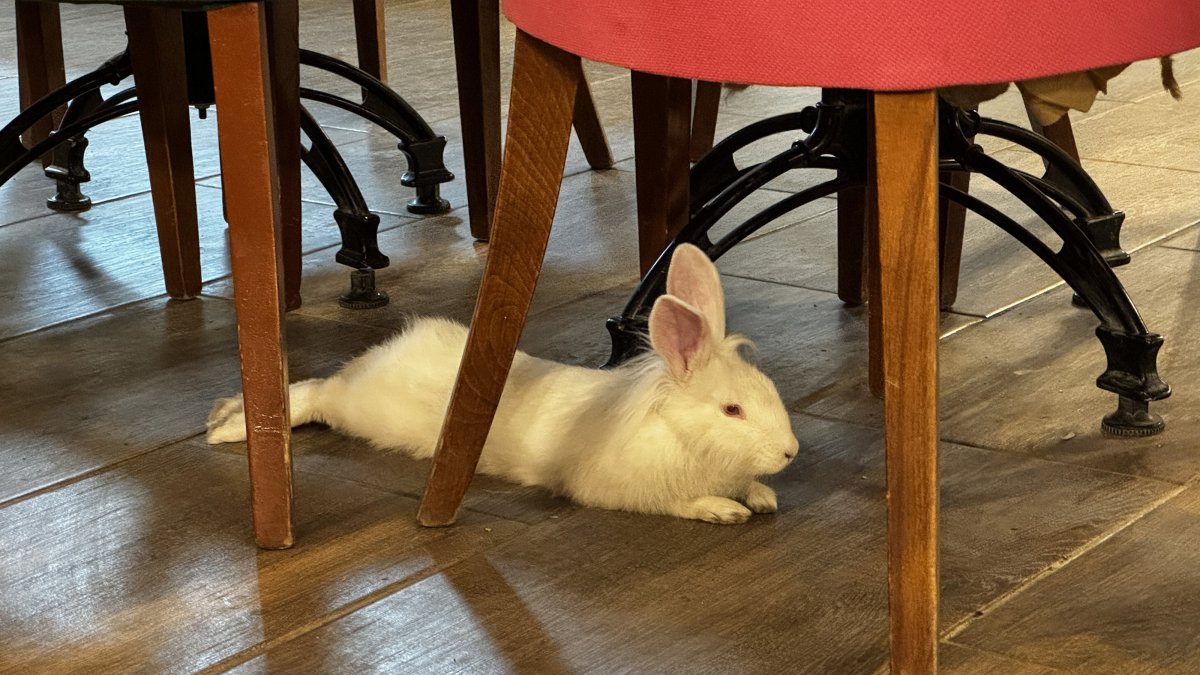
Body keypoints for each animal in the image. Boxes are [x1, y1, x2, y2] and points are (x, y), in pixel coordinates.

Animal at [207, 244, 800, 524]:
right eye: (731, 411)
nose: (791, 452)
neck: (683, 438)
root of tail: (384, 355)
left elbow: (746, 485)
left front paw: (761, 495)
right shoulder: (621, 488)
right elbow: (677, 502)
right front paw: (723, 509)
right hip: (355, 408)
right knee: (313, 395)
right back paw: (223, 429)